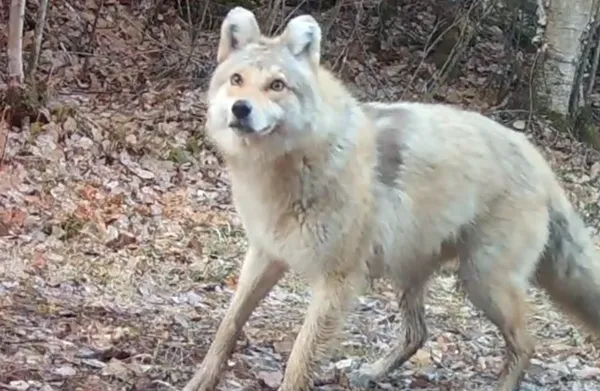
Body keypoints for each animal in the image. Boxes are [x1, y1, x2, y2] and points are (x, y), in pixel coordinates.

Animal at [183, 6, 600, 391]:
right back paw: (371, 373)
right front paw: (200, 381)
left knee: (526, 345)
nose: (241, 109)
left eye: (276, 85)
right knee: (419, 334)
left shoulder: (337, 281)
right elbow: (228, 326)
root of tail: (538, 159)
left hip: (482, 283)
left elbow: (299, 361)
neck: (287, 168)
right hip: (415, 274)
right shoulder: (265, 255)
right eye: (237, 80)